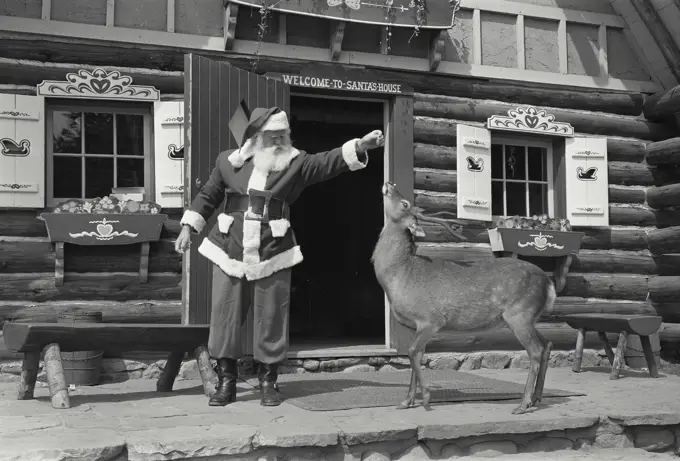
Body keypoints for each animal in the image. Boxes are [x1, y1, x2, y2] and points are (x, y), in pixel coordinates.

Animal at [372, 181, 556, 416]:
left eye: (405, 203)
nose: (389, 183)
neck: (401, 276)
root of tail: (548, 283)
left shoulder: (431, 319)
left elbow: (412, 352)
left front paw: (426, 398)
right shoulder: (415, 325)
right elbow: (416, 356)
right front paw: (407, 401)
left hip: (520, 313)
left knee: (535, 351)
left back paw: (523, 404)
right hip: (529, 317)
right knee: (547, 344)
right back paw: (536, 398)